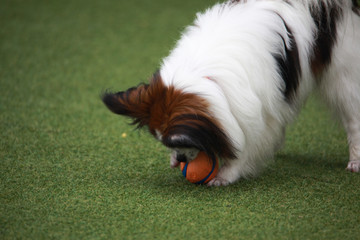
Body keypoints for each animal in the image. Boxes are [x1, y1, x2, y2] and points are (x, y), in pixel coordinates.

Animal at [102, 0, 360, 186]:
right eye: (168, 145)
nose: (182, 160)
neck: (202, 74)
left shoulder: (261, 112)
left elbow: (248, 145)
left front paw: (226, 174)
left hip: (341, 76)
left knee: (352, 117)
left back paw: (355, 161)